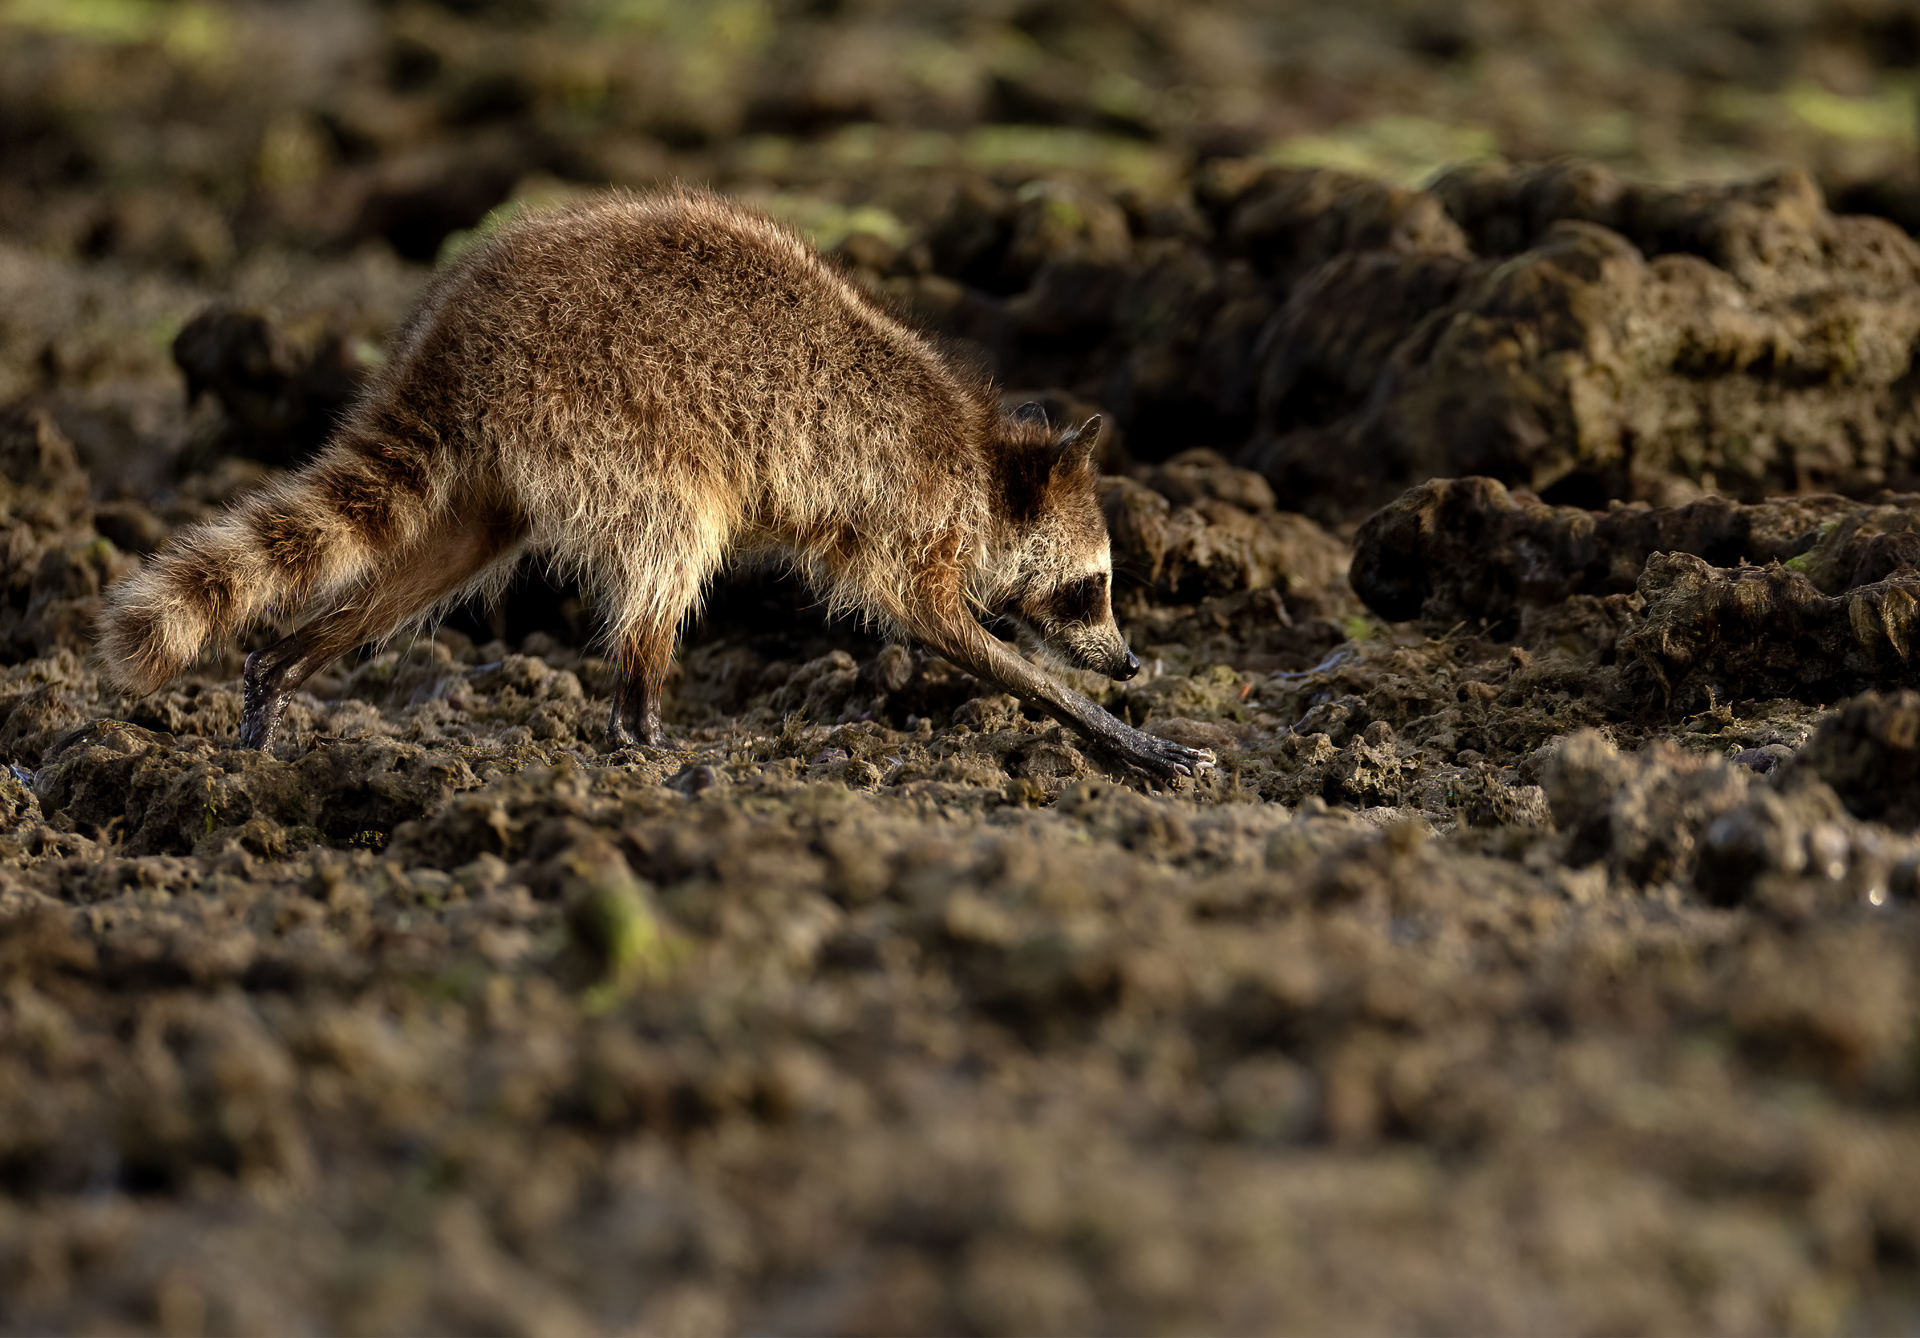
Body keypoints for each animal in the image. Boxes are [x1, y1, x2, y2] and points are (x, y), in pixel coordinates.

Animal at [97, 192, 1213, 787]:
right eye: (1094, 589)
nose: (1128, 661)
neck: (985, 463)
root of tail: (450, 333)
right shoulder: (911, 528)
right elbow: (964, 640)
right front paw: (1114, 729)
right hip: (618, 420)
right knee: (675, 544)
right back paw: (639, 723)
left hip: (510, 466)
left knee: (428, 567)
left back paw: (281, 668)